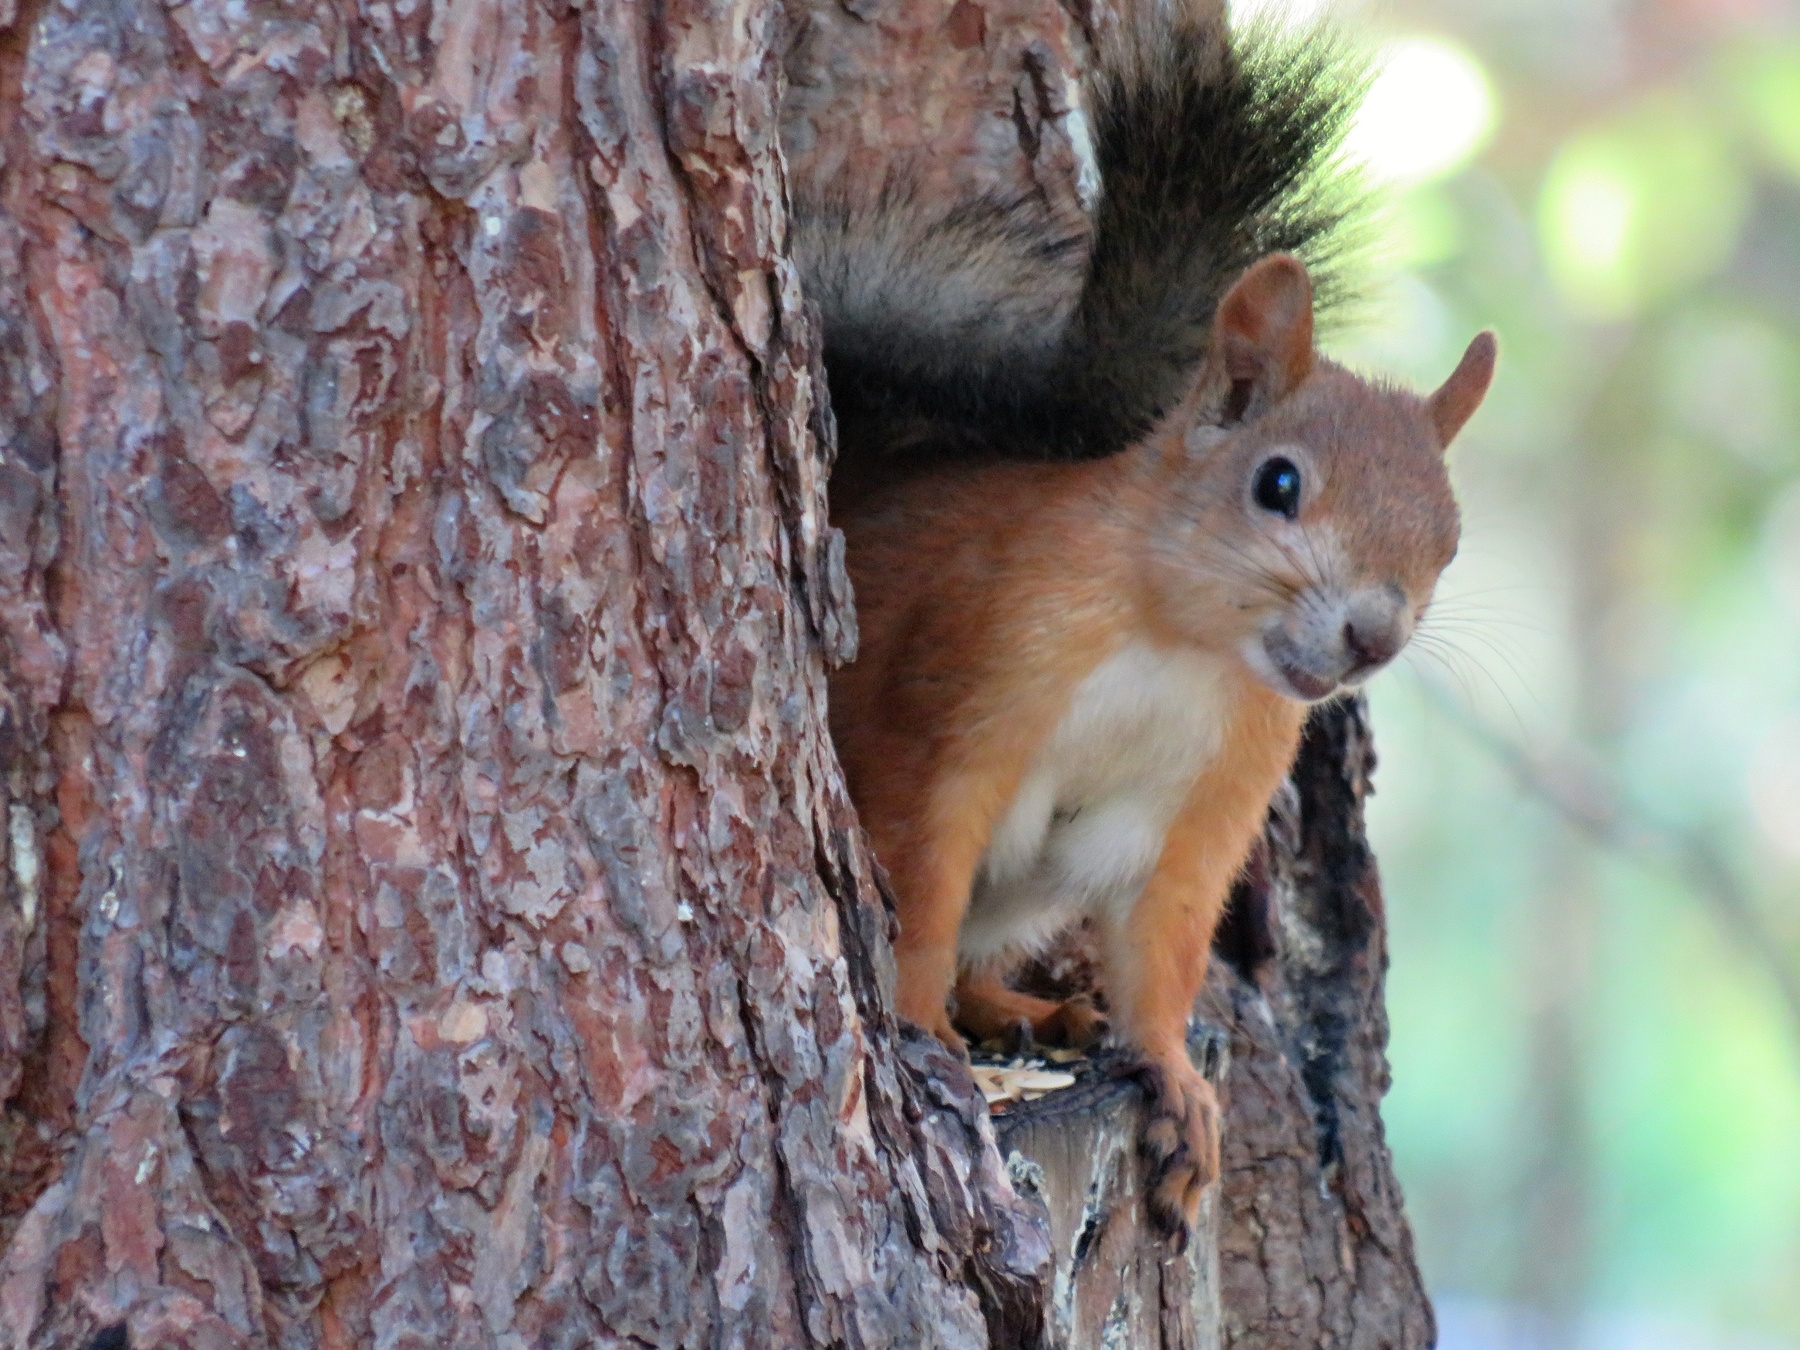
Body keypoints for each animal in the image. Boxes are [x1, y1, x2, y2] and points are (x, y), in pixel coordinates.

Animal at [791, 2, 1496, 1237]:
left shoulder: (1209, 804)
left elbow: (1164, 946)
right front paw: (917, 1026)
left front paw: (1170, 1078)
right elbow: (921, 875)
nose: (1373, 637)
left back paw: (1031, 1011)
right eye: (1277, 483)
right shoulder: (962, 697)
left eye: (1448, 543)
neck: (1186, 650)